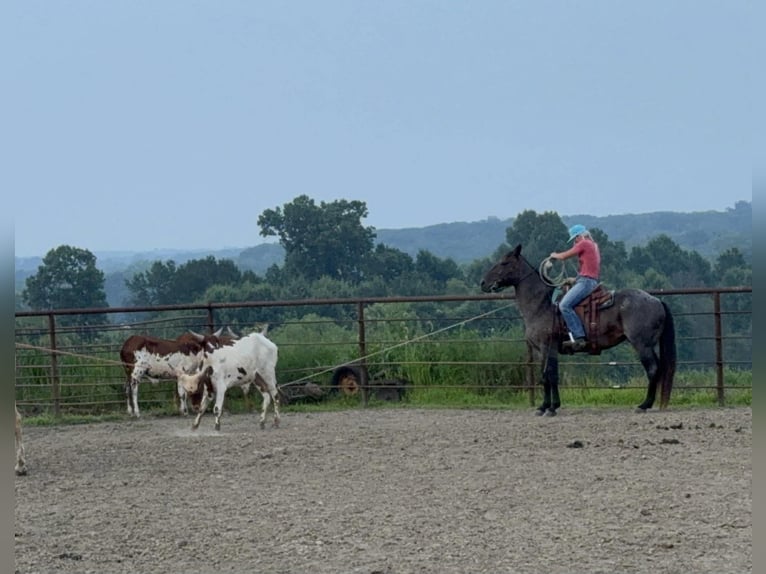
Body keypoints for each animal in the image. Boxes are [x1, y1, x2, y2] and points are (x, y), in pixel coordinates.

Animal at [480, 244, 676, 416]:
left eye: (504, 262)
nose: (483, 283)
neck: (542, 305)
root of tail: (656, 300)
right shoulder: (541, 351)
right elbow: (547, 376)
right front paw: (545, 407)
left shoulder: (548, 347)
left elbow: (550, 375)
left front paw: (551, 408)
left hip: (642, 345)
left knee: (652, 369)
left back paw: (644, 405)